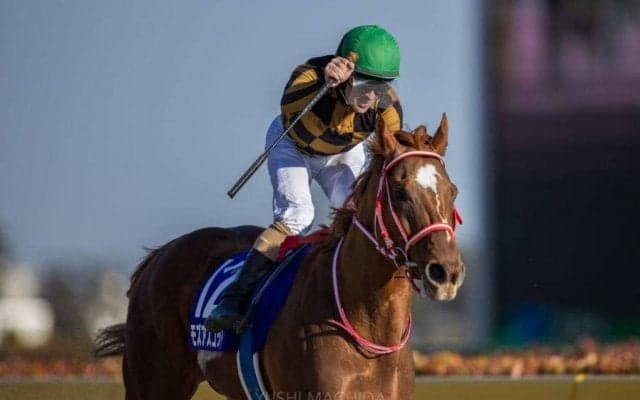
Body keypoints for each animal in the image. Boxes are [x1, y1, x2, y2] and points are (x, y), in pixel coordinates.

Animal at [94, 113, 465, 400]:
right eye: (401, 192)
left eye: (453, 191)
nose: (446, 272)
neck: (368, 327)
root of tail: (158, 256)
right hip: (154, 381)